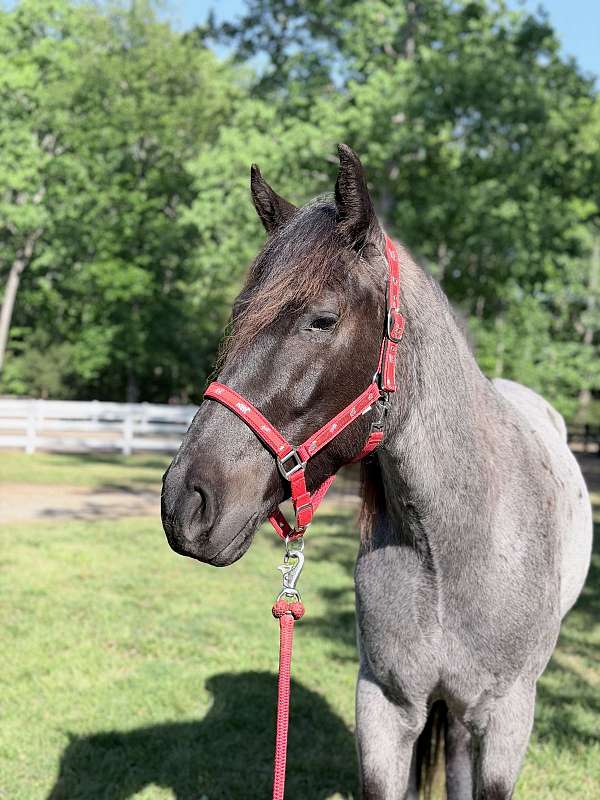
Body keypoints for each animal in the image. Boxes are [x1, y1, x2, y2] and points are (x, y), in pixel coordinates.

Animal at [161, 144, 593, 799]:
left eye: (321, 318)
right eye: (240, 315)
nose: (185, 502)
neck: (450, 548)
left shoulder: (507, 718)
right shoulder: (384, 708)